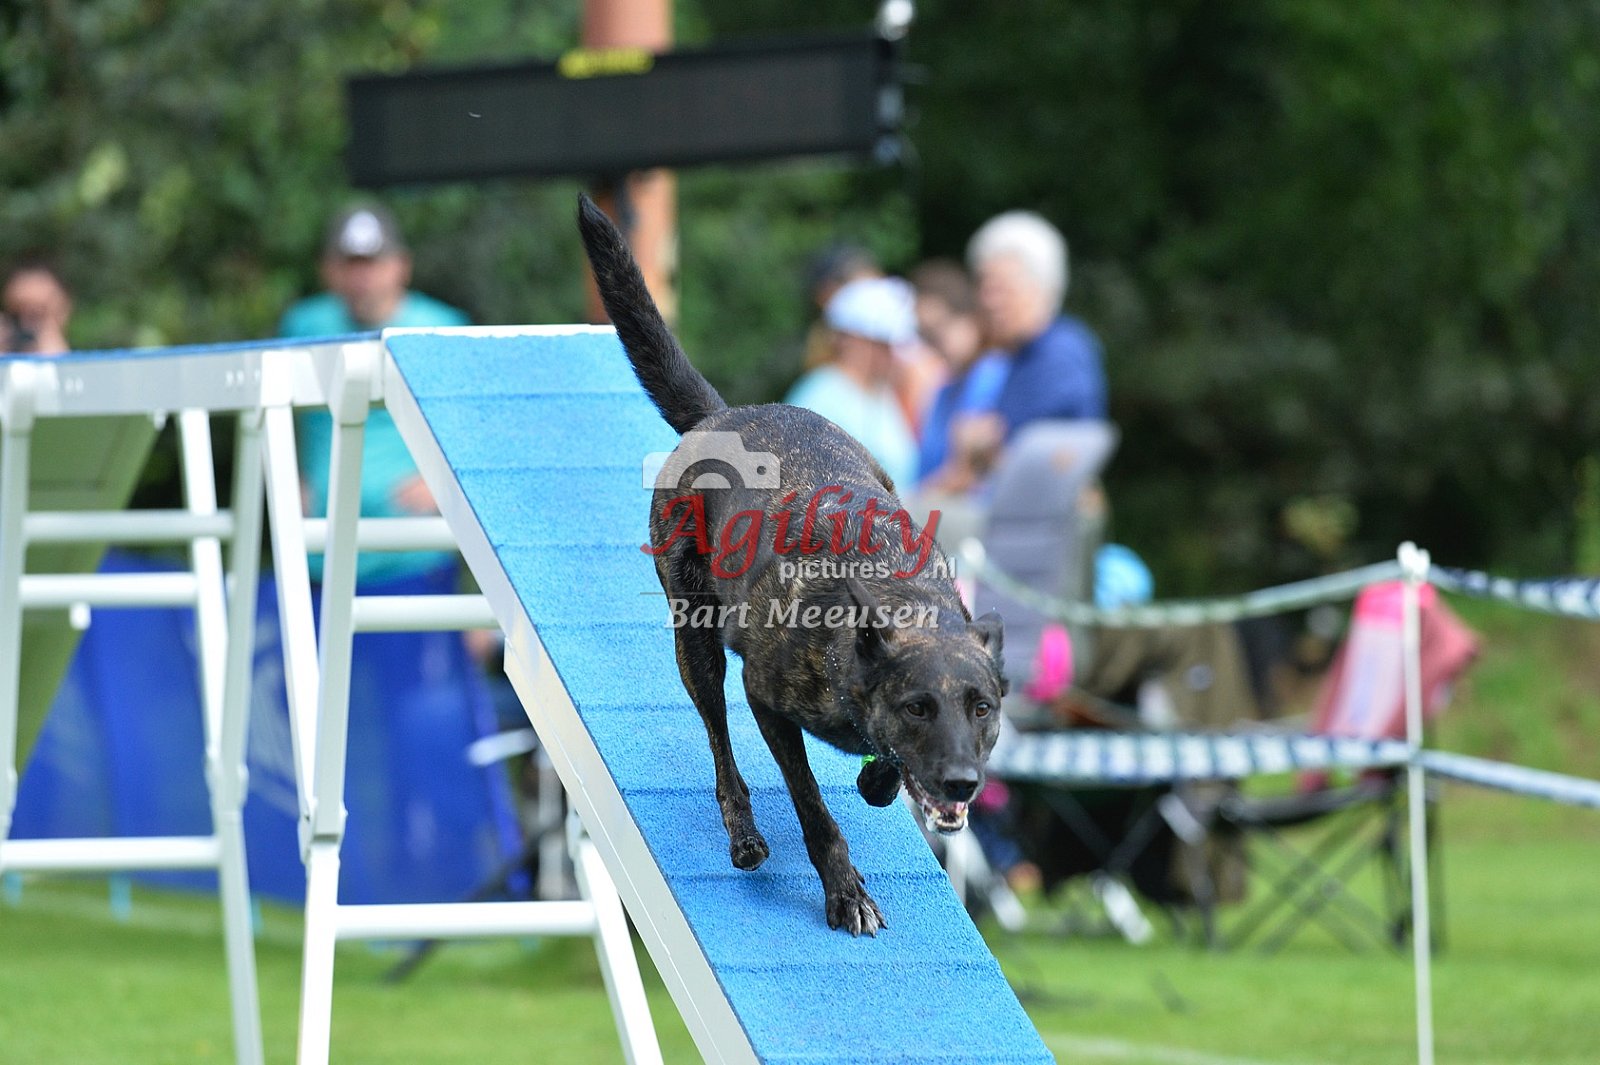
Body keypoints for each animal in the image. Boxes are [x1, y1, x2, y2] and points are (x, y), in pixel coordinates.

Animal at [577, 194, 1006, 935]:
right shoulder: (768, 699)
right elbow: (813, 807)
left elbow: (878, 777)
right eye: (918, 707)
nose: (961, 782)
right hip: (696, 639)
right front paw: (845, 892)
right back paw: (744, 832)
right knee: (720, 744)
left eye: (981, 708)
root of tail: (722, 416)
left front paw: (874, 778)